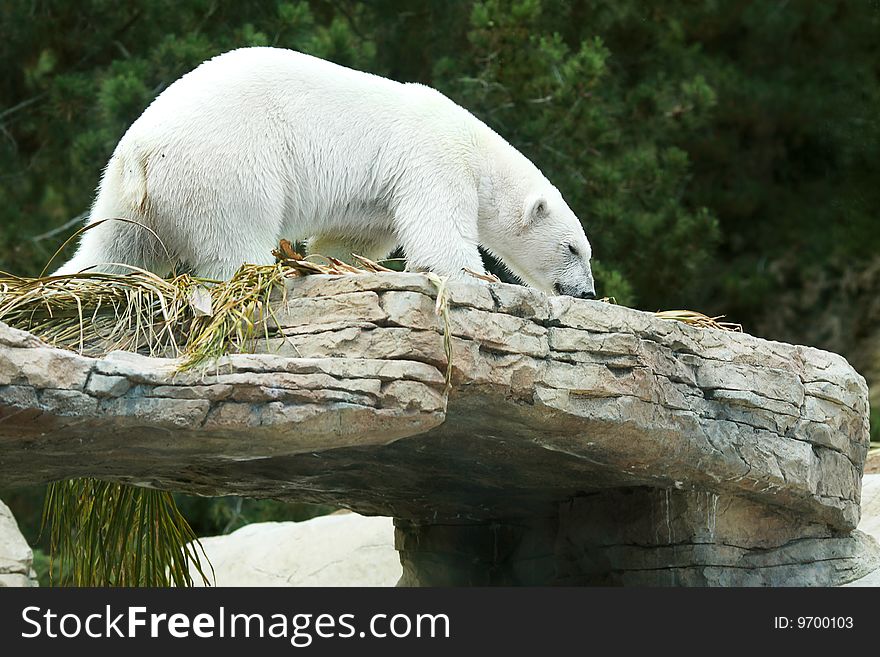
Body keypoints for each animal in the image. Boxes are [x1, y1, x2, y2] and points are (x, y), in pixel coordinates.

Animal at [51, 47, 596, 298]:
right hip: (226, 164)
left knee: (115, 246)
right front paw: (476, 279)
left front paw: (332, 262)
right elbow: (438, 235)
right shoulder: (433, 158)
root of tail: (142, 148)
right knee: (237, 237)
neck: (479, 153)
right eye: (573, 249)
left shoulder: (379, 197)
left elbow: (353, 238)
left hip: (129, 193)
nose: (587, 291)